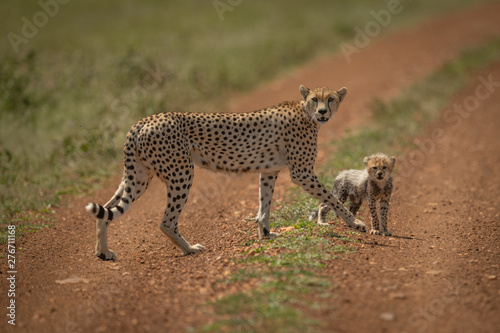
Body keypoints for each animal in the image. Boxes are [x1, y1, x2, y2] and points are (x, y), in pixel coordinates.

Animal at [86, 84, 368, 258]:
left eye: (331, 99)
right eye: (314, 99)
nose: (322, 111)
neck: (305, 113)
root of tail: (142, 120)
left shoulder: (269, 171)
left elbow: (264, 206)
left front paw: (266, 235)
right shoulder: (301, 173)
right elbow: (331, 199)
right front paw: (354, 222)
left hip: (138, 177)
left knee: (106, 210)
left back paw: (103, 252)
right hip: (181, 173)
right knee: (166, 221)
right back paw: (189, 249)